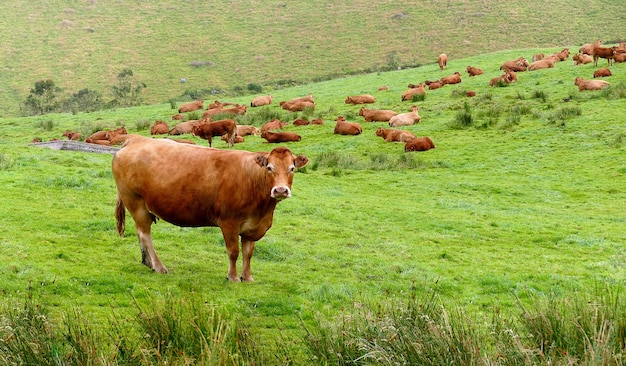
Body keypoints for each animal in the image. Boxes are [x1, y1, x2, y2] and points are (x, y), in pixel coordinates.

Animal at [113, 137, 308, 280]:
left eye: (292, 168)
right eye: (269, 167)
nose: (280, 190)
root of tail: (135, 139)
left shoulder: (252, 227)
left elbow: (248, 253)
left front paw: (247, 277)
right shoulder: (229, 222)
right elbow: (233, 251)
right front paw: (233, 277)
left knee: (140, 234)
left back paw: (148, 262)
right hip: (136, 203)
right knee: (146, 235)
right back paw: (159, 267)